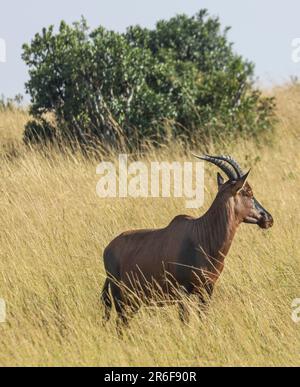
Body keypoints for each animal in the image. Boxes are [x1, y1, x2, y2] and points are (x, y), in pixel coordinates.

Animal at [100, 155, 272, 328]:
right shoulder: (183, 293)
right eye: (247, 192)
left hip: (134, 301)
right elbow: (185, 321)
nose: (268, 218)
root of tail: (108, 248)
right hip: (120, 297)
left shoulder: (207, 290)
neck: (202, 236)